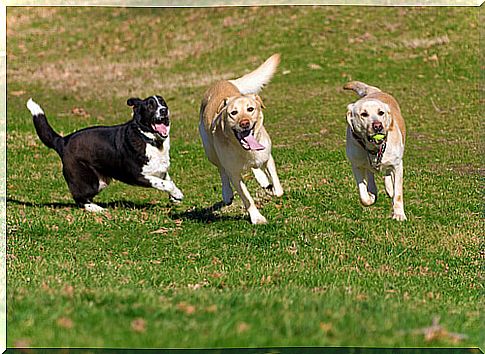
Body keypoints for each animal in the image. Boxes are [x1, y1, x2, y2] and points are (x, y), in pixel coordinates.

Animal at [27, 94, 184, 212]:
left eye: (163, 103)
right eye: (151, 106)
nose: (164, 110)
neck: (150, 139)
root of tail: (63, 141)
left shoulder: (161, 170)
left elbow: (168, 180)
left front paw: (174, 196)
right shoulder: (138, 175)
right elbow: (165, 183)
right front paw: (177, 194)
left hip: (101, 181)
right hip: (90, 182)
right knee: (79, 198)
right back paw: (96, 209)